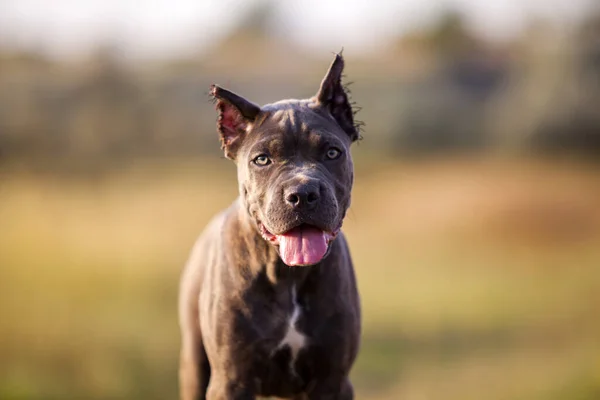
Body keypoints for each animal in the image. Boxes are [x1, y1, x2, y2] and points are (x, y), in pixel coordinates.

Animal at [179, 54, 360, 400]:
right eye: (261, 160)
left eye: (333, 152)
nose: (303, 193)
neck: (286, 274)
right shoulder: (230, 381)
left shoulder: (333, 380)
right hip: (194, 364)